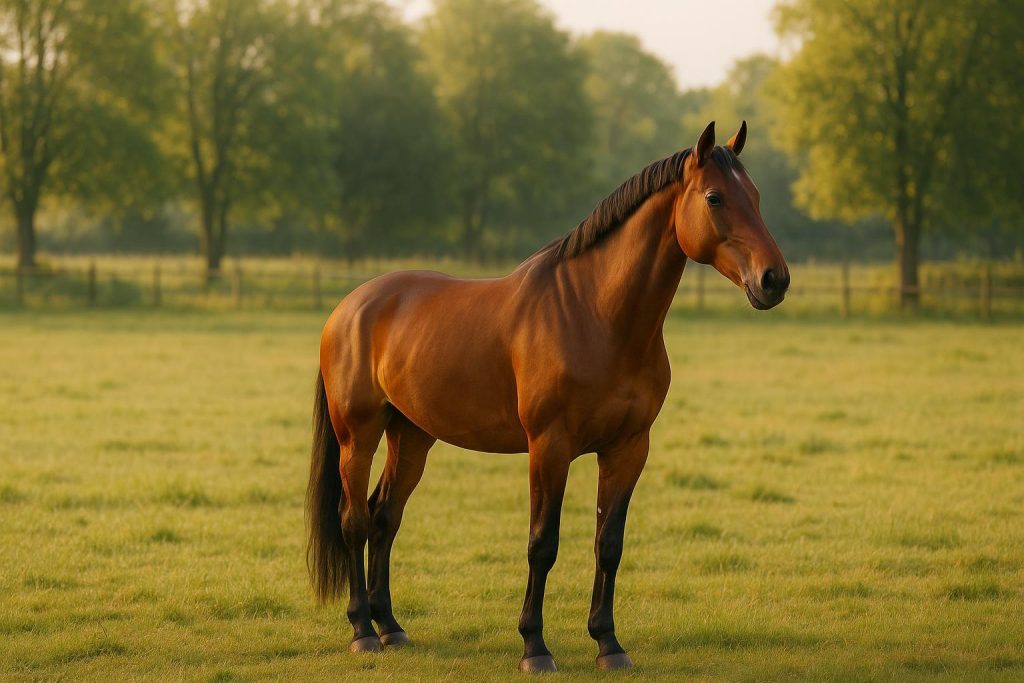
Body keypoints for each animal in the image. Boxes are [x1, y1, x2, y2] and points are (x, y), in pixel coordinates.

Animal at [307, 121, 790, 673]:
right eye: (714, 197)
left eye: (755, 196)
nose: (774, 279)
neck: (595, 314)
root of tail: (349, 307)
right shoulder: (549, 447)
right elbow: (543, 544)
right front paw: (534, 647)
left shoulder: (628, 449)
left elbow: (609, 544)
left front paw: (608, 644)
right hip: (358, 437)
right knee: (354, 521)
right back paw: (363, 631)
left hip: (411, 436)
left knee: (385, 518)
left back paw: (391, 626)